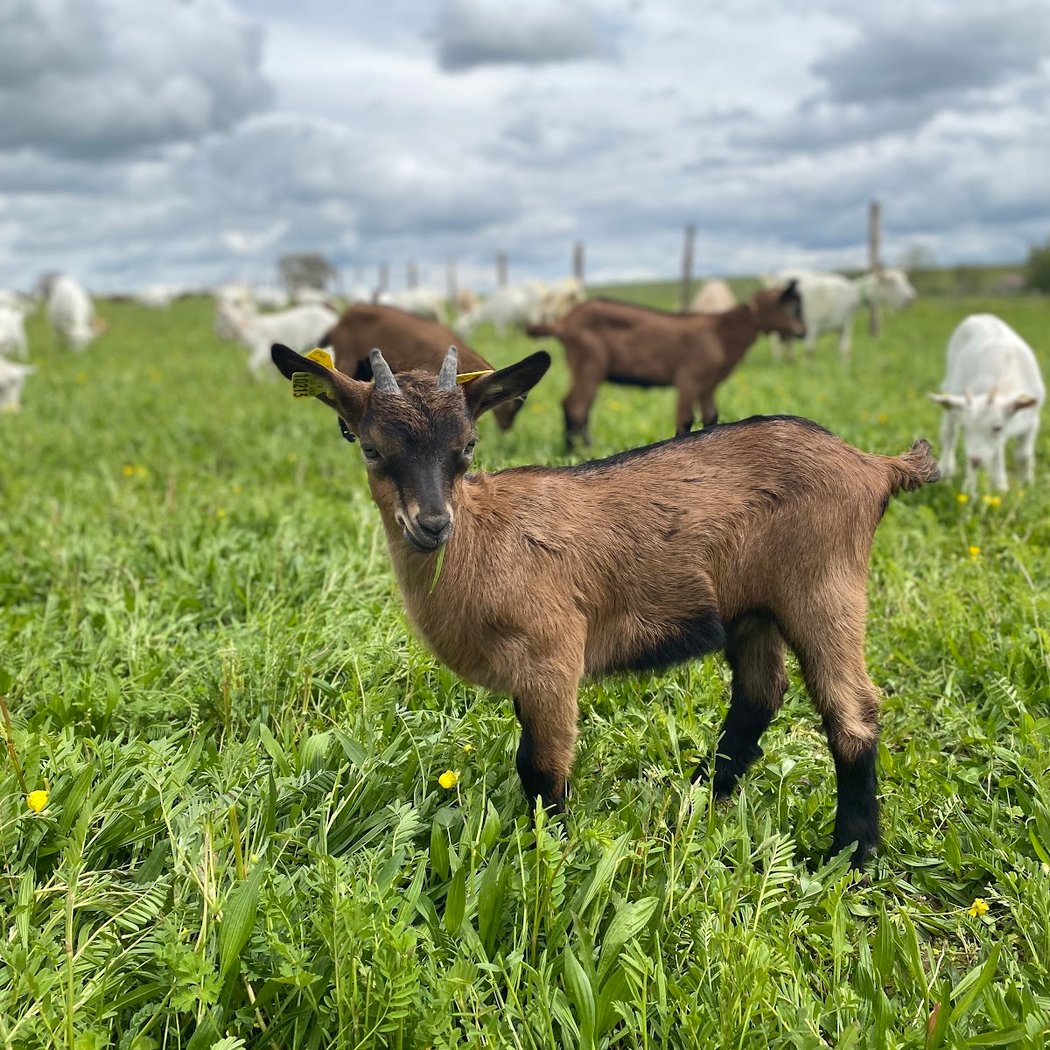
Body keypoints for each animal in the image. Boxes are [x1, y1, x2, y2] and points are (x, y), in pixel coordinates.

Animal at [269, 341, 940, 866]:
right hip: (753, 608)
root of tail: (873, 467)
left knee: (852, 712)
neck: (485, 537)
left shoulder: (554, 650)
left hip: (824, 587)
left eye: (467, 445)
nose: (432, 525)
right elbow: (530, 754)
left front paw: (551, 853)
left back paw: (852, 855)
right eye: (371, 448)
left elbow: (543, 764)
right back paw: (699, 794)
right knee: (759, 695)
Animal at [527, 282, 805, 447]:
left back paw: (573, 447)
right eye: (791, 307)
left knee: (572, 403)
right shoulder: (689, 378)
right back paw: (584, 448)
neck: (721, 333)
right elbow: (685, 419)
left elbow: (711, 417)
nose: (802, 333)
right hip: (589, 362)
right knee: (577, 404)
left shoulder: (708, 385)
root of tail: (563, 323)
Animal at [929, 314, 1044, 491]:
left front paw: (1025, 484)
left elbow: (1023, 455)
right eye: (965, 428)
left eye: (997, 428)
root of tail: (979, 315)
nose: (976, 460)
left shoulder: (1032, 421)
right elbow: (994, 454)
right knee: (949, 434)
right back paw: (947, 470)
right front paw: (981, 488)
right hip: (952, 389)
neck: (1005, 384)